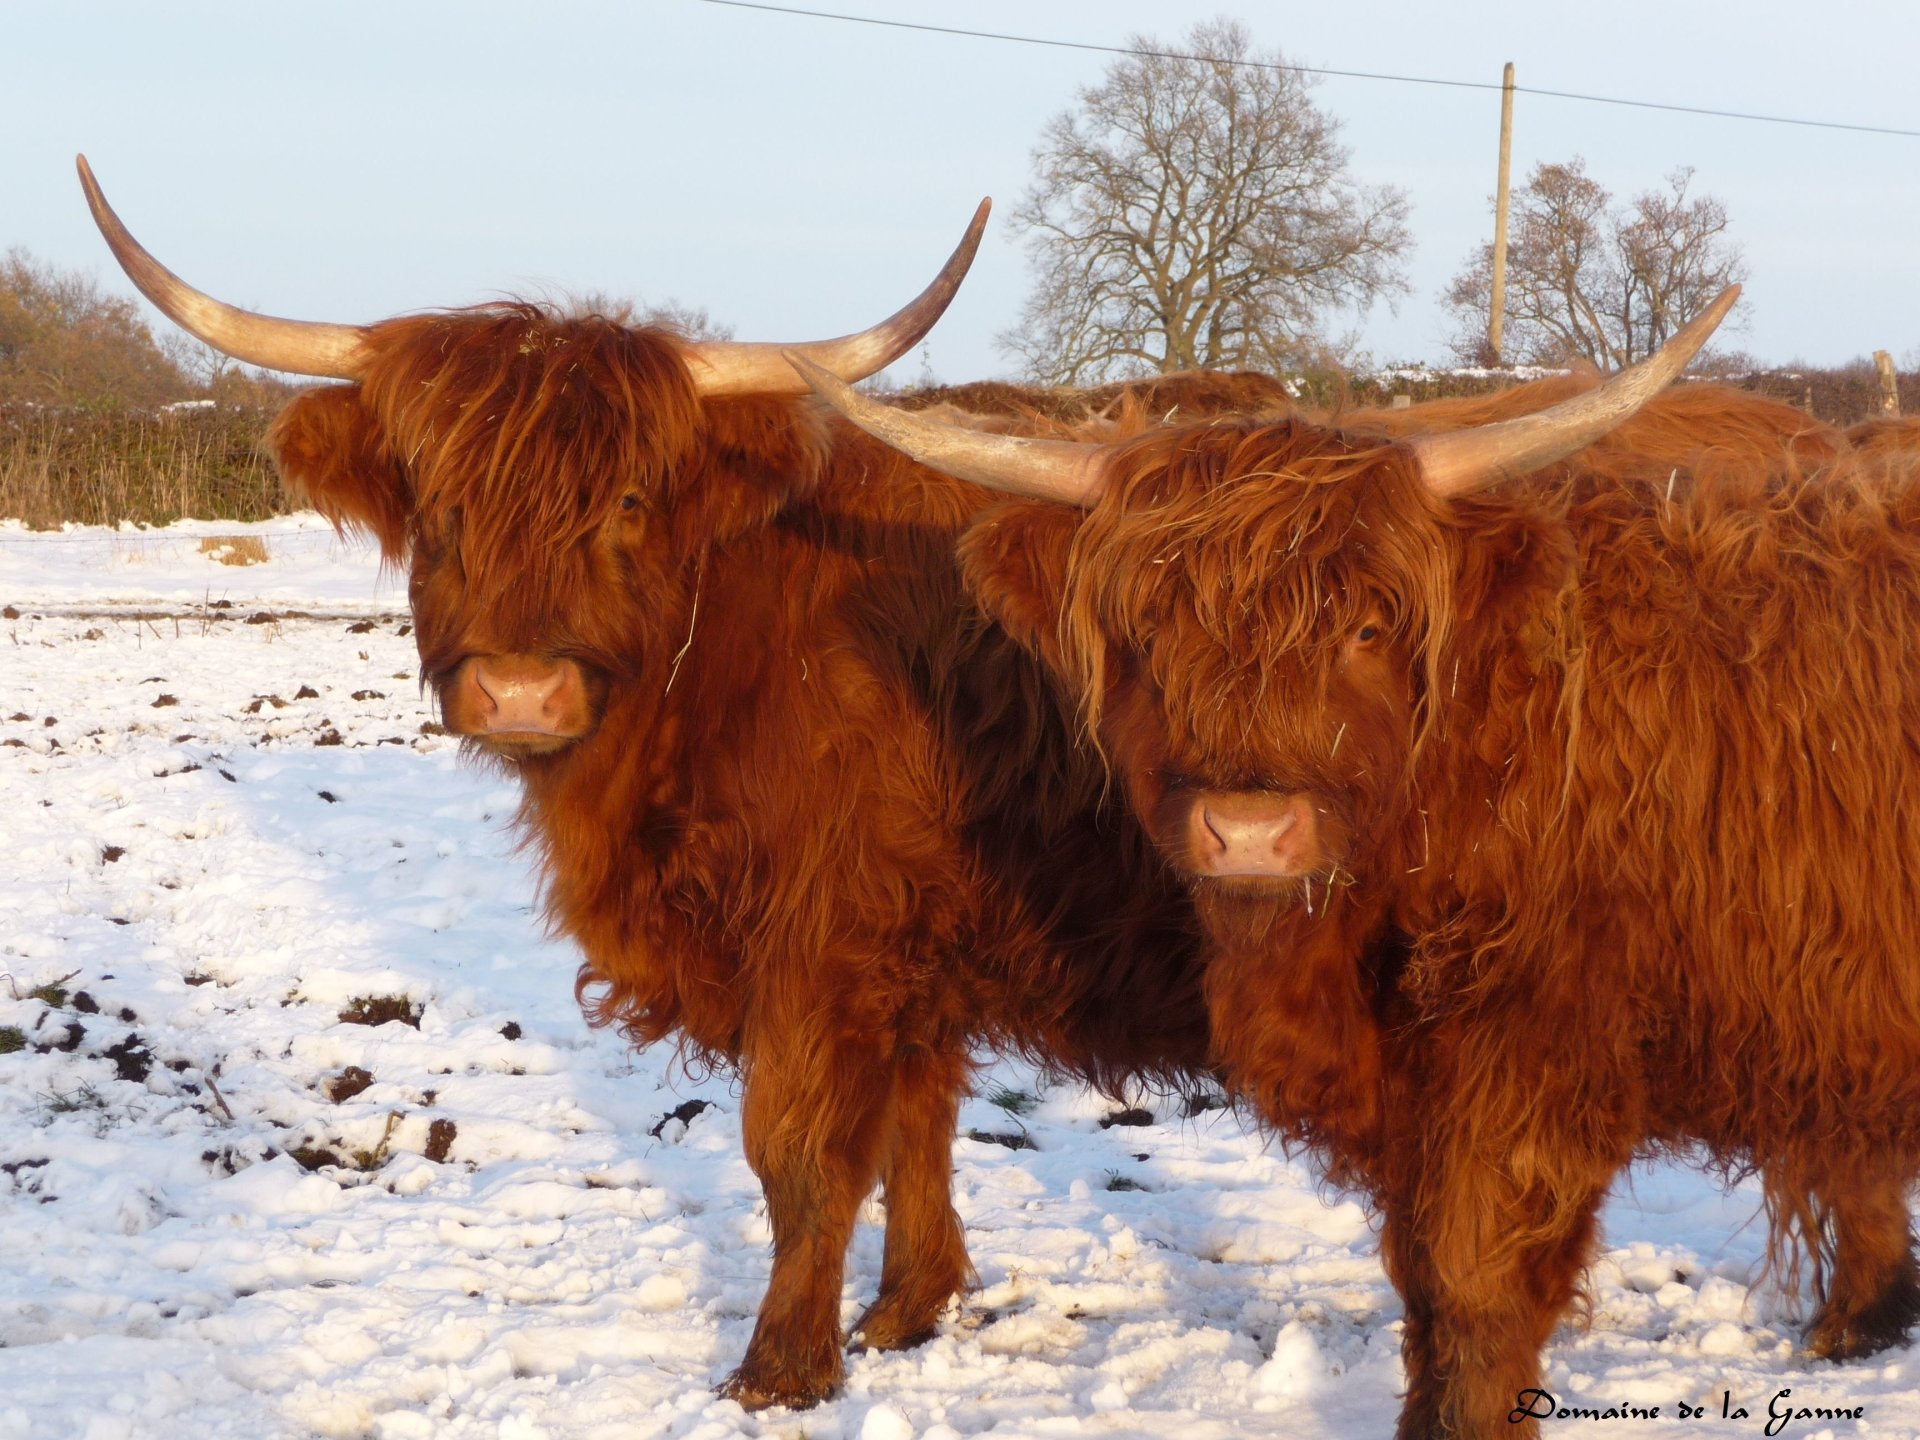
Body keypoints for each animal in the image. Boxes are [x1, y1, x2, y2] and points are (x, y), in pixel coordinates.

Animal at [78, 160, 1228, 1413]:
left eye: (627, 504)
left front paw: (781, 1370)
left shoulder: (828, 941)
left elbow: (800, 1153)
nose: (521, 692)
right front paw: (904, 1314)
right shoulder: (913, 955)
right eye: (441, 505)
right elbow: (916, 1129)